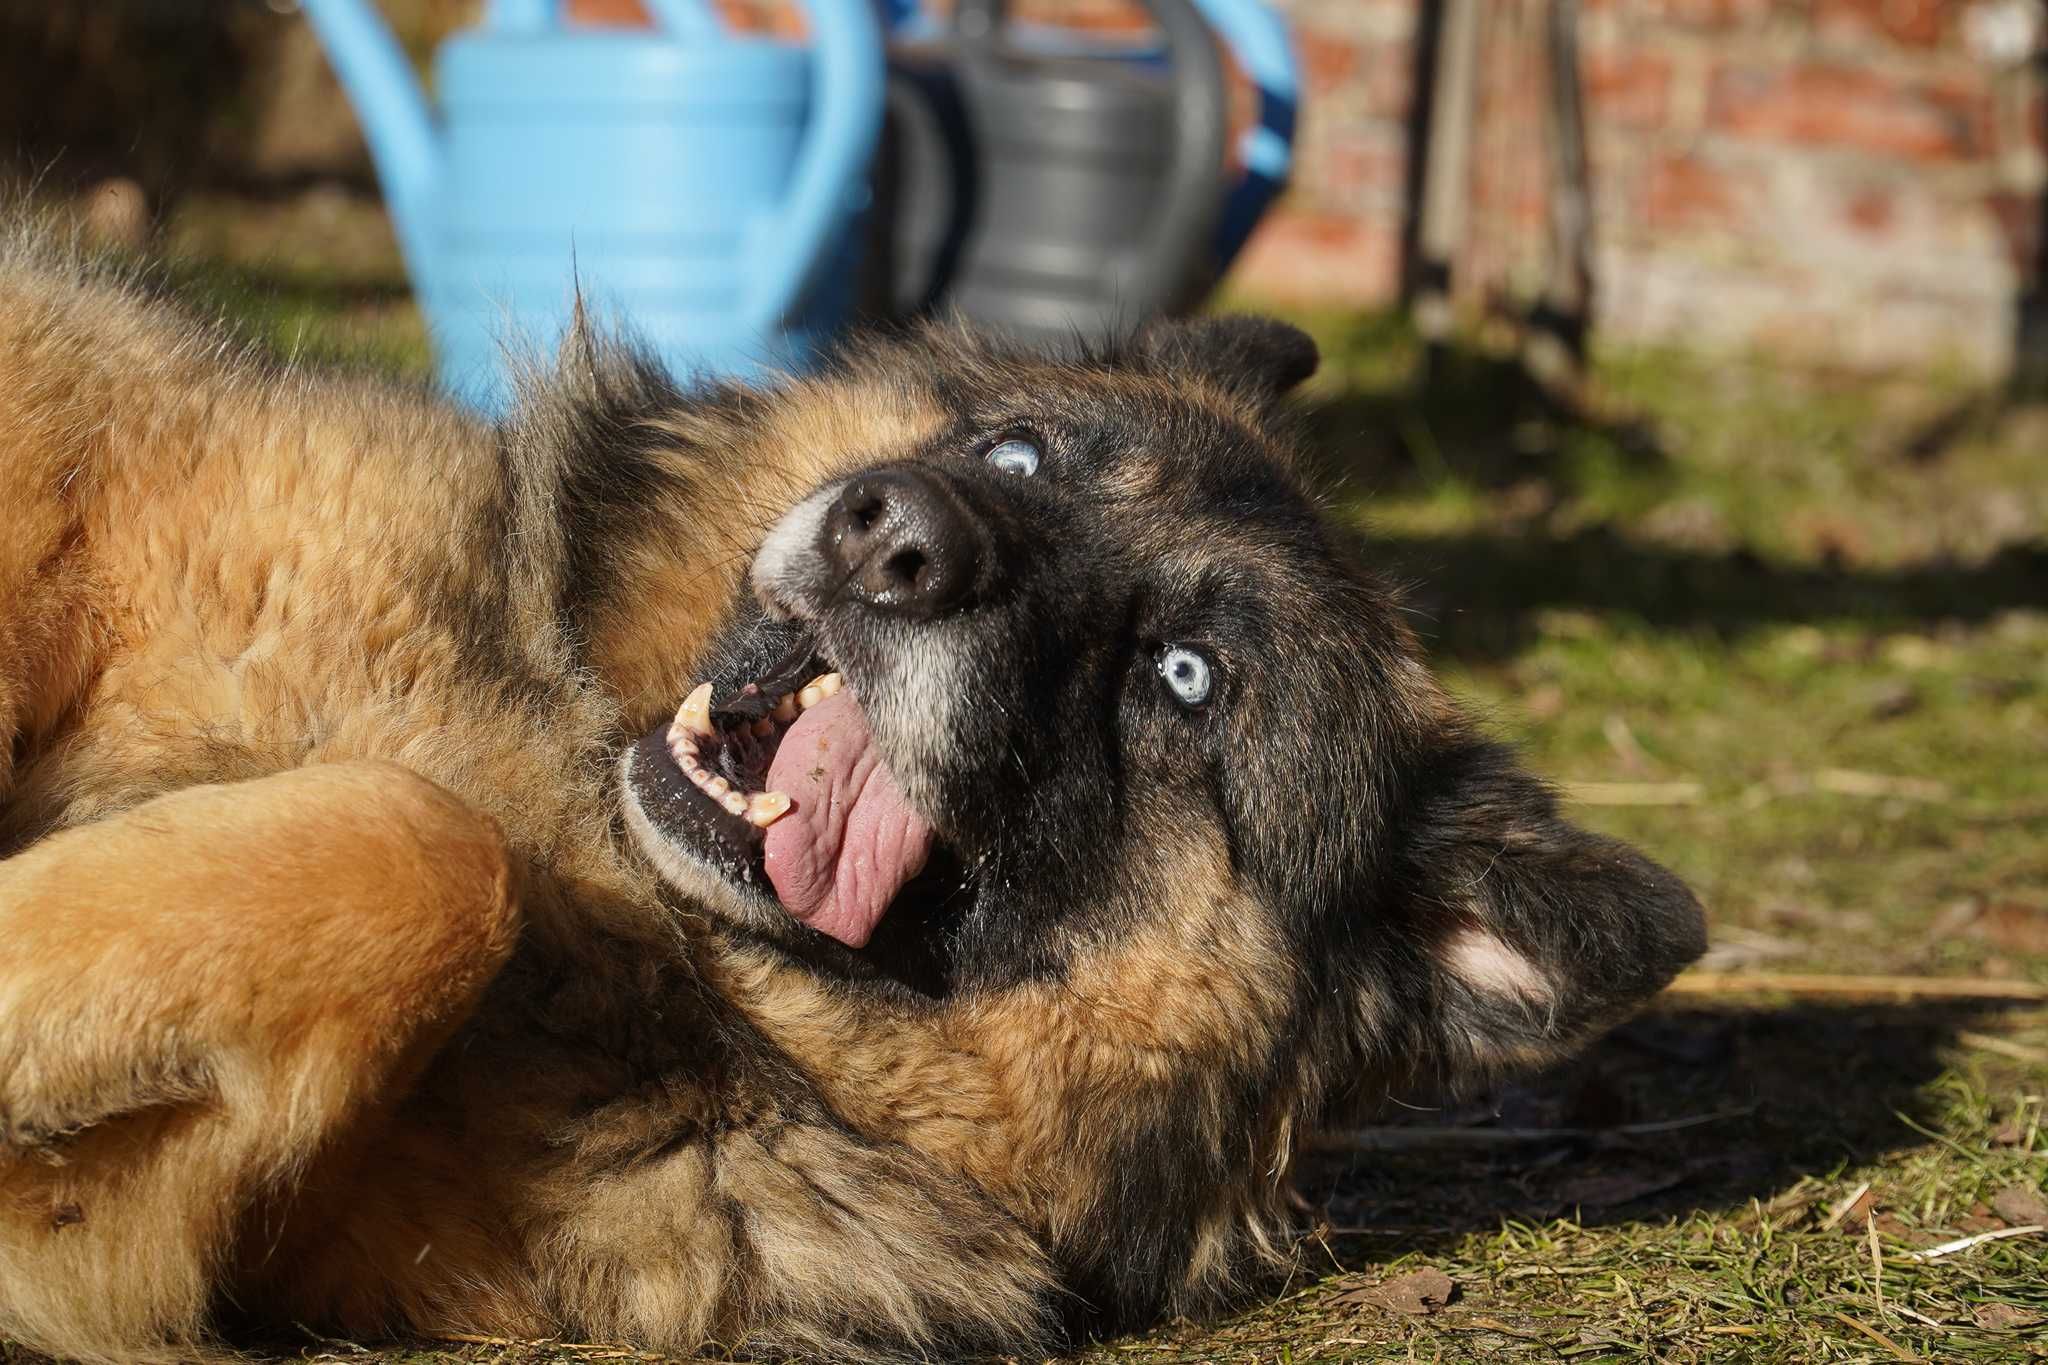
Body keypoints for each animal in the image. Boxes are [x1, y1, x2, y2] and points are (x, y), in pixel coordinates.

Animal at [0, 227, 1703, 1365]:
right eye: (1021, 455)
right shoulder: (85, 421)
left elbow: (414, 847)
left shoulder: (116, 1254)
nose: (901, 536)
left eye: (1185, 678)